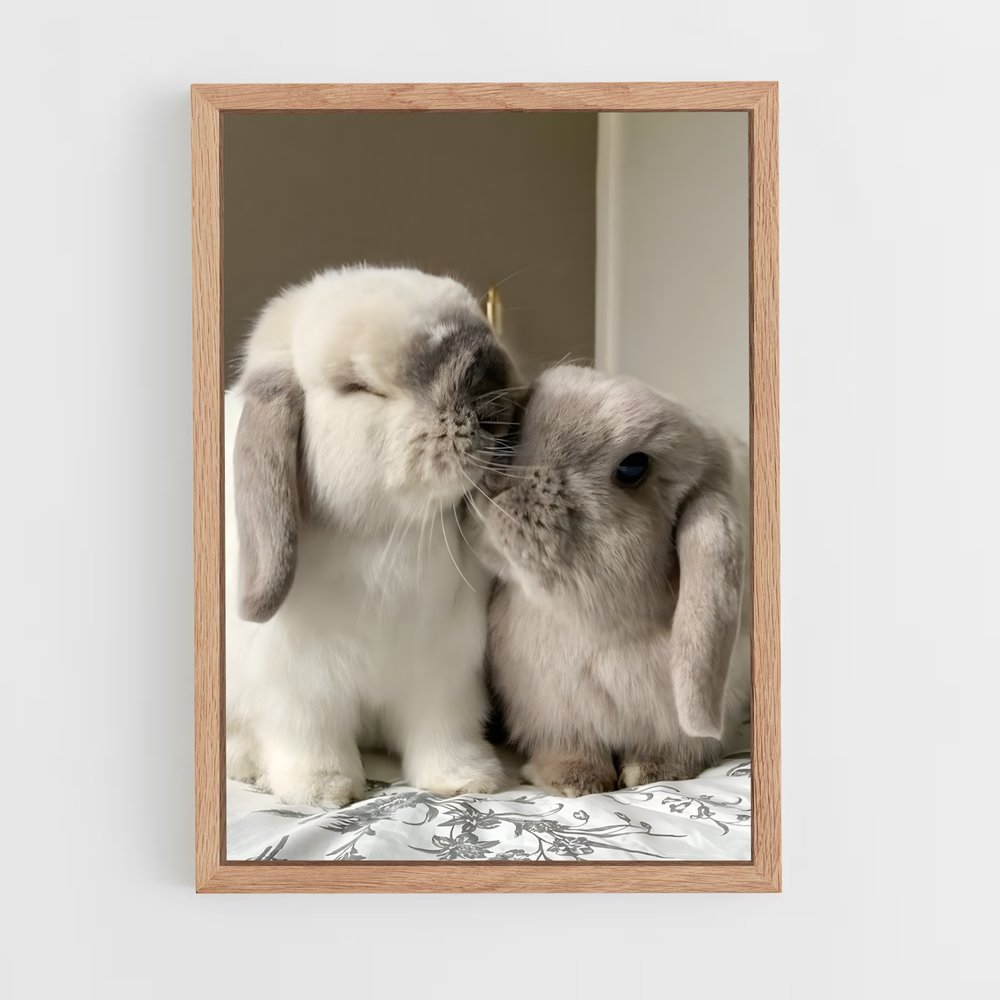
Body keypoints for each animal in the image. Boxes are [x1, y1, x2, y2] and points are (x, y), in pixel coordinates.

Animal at [225, 265, 520, 807]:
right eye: (358, 386)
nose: (492, 392)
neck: (384, 537)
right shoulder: (299, 690)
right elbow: (311, 738)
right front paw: (323, 790)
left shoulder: (443, 679)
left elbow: (444, 734)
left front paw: (468, 780)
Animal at [474, 364, 750, 797]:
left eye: (633, 468)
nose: (499, 480)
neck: (604, 633)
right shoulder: (554, 713)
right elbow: (570, 746)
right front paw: (575, 781)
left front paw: (654, 771)